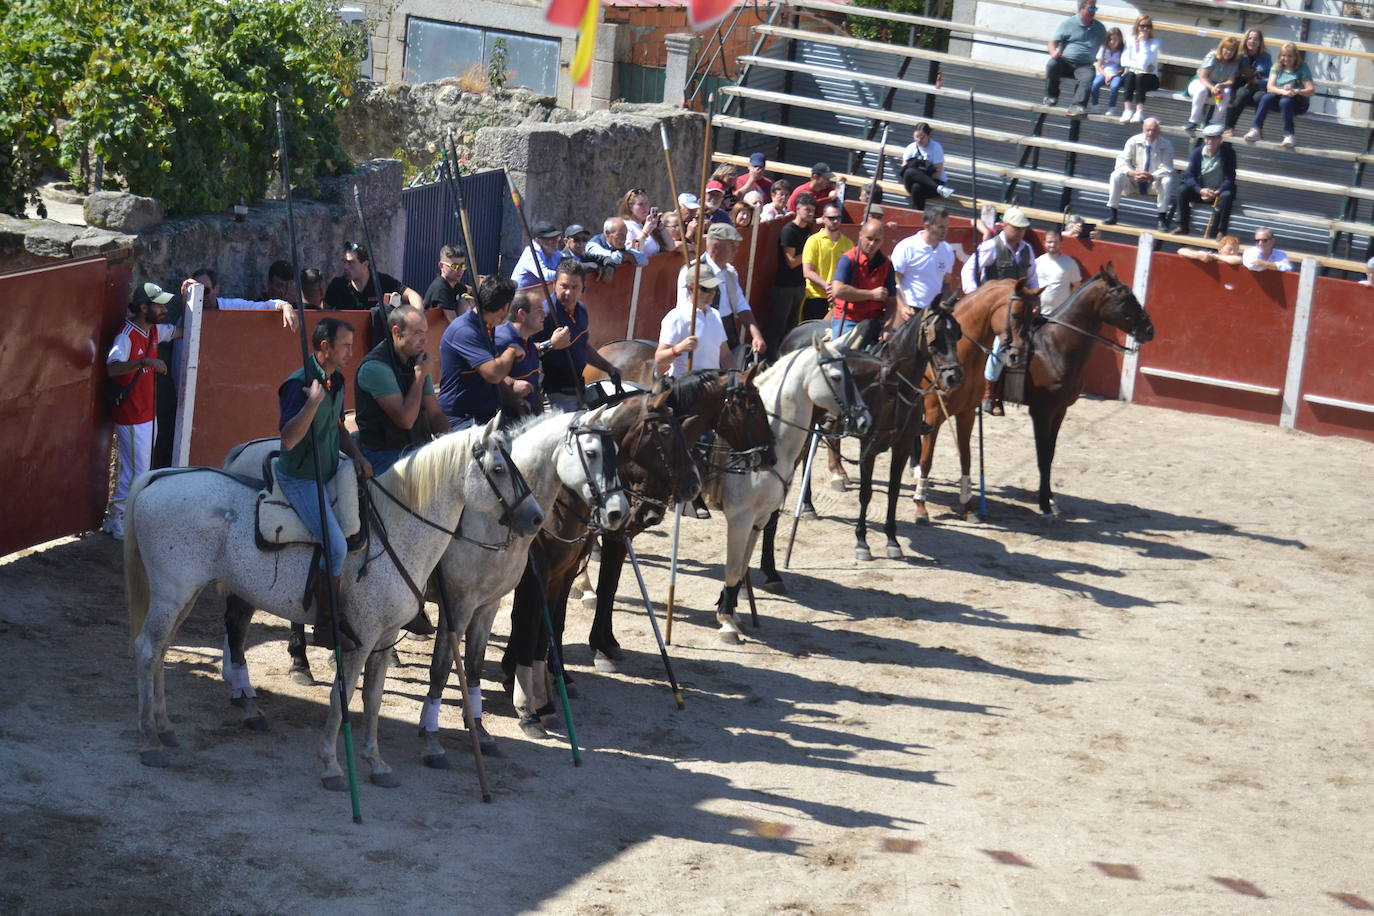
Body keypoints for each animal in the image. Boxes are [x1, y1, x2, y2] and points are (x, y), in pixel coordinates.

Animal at [125, 420, 546, 791]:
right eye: (498, 469)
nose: (535, 517)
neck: (393, 530)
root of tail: (160, 477)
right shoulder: (363, 637)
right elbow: (340, 698)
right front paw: (330, 765)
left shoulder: (385, 637)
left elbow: (373, 699)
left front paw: (376, 763)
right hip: (172, 593)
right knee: (147, 651)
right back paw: (149, 740)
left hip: (184, 594)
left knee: (161, 651)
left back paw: (166, 728)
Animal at [708, 336, 868, 645]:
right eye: (836, 376)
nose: (865, 420)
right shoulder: (740, 517)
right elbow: (733, 567)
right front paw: (727, 623)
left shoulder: (758, 518)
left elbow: (742, 566)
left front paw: (733, 613)